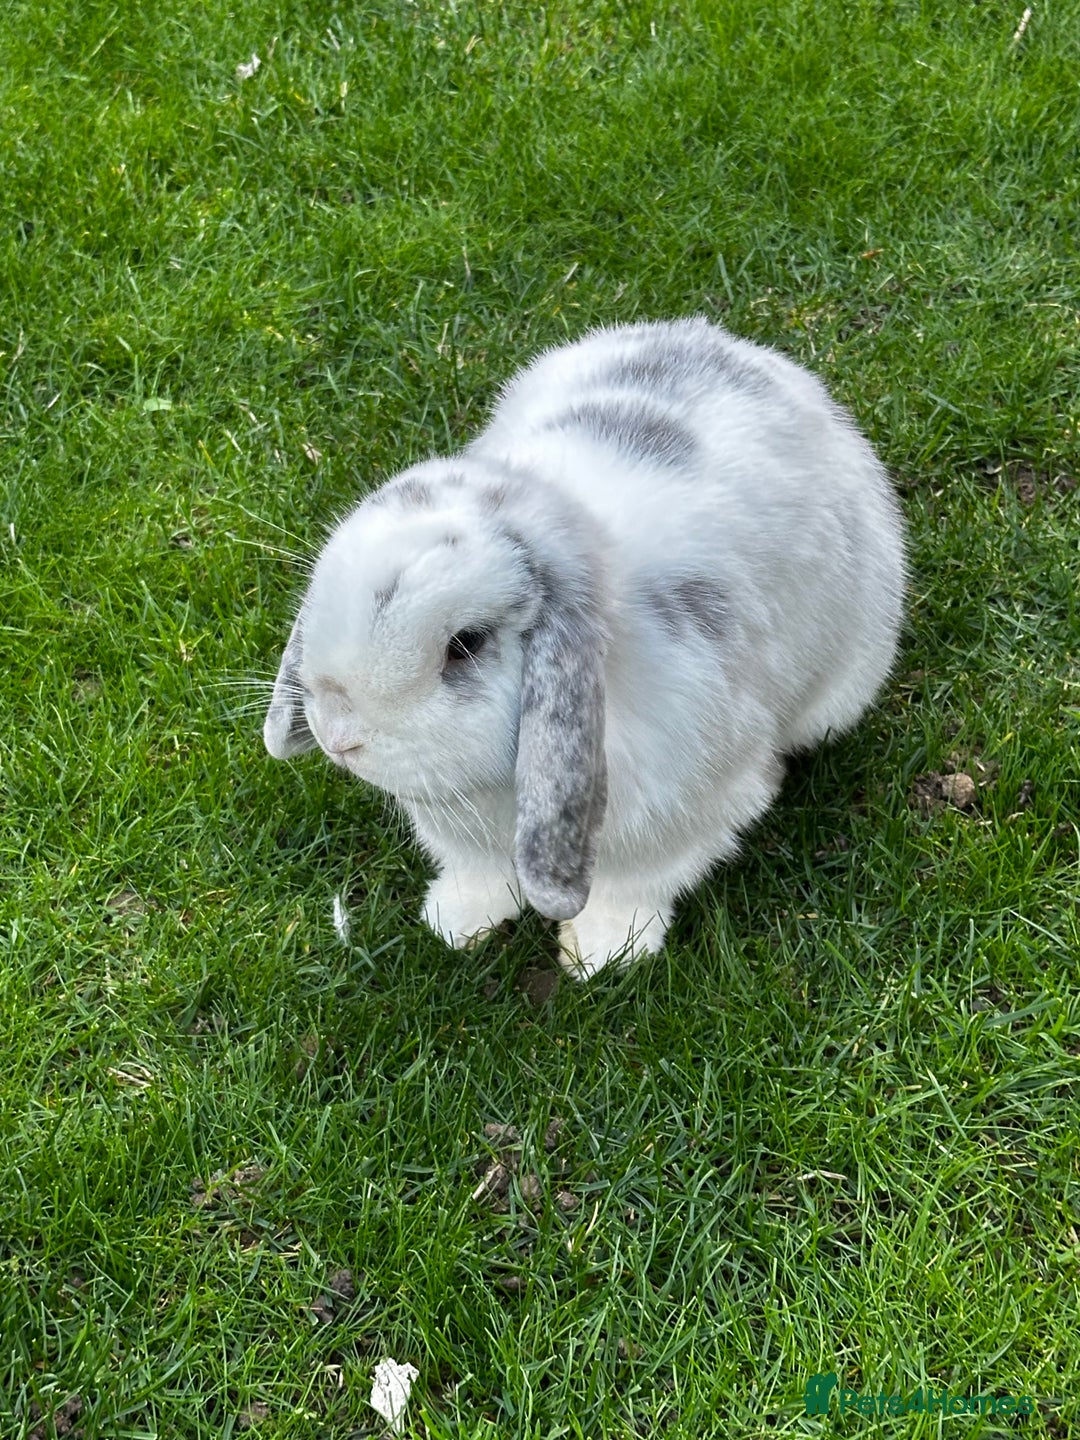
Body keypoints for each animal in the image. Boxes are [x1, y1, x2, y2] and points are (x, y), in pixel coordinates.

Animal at [263, 317, 905, 978]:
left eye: (465, 645)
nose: (338, 735)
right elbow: (478, 872)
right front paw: (455, 922)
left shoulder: (685, 813)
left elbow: (632, 886)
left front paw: (601, 954)